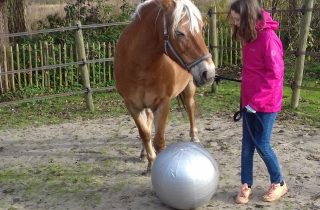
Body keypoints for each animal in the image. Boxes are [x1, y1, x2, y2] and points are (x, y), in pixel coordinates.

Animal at [114, 0, 216, 174]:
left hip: (189, 88)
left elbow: (159, 141)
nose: (208, 73)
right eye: (179, 33)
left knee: (190, 107)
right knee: (148, 122)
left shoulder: (163, 103)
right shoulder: (132, 105)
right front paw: (150, 161)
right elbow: (145, 134)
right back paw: (144, 153)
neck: (139, 66)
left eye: (201, 27)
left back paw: (194, 137)